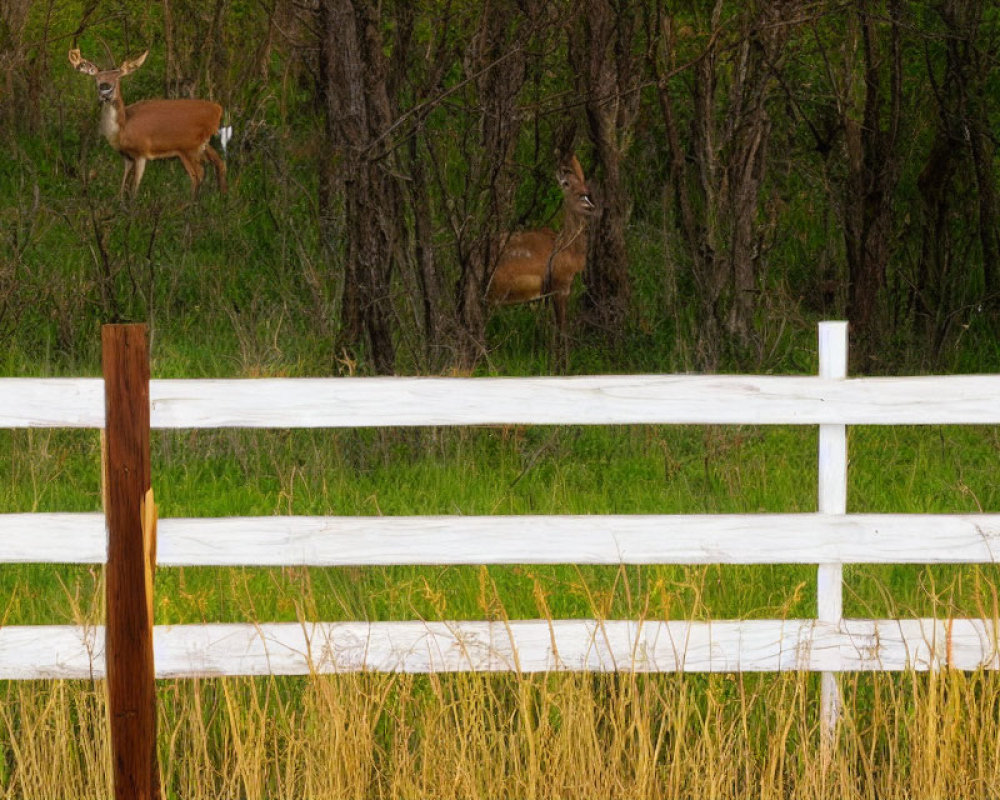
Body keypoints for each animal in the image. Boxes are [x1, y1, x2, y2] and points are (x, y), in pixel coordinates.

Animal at [69, 48, 228, 197]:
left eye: (118, 78)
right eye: (96, 78)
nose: (105, 89)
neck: (123, 127)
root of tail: (218, 110)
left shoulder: (141, 153)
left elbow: (134, 189)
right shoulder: (126, 156)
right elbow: (122, 188)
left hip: (189, 147)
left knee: (198, 174)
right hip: (202, 145)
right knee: (219, 164)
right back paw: (220, 198)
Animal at [488, 154, 596, 360]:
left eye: (584, 182)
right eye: (566, 183)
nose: (586, 198)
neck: (566, 248)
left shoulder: (545, 294)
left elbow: (547, 331)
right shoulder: (561, 285)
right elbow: (562, 330)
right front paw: (564, 363)